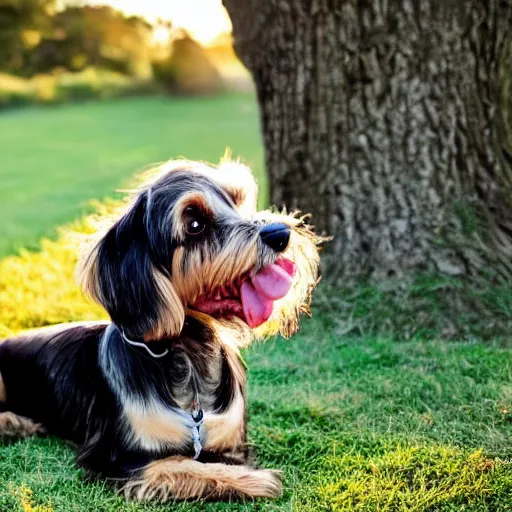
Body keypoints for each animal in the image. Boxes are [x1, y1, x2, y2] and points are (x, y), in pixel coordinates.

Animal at [0, 159, 322, 500]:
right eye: (195, 224)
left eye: (236, 201)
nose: (280, 233)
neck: (190, 358)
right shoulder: (115, 457)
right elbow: (180, 464)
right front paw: (253, 479)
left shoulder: (229, 442)